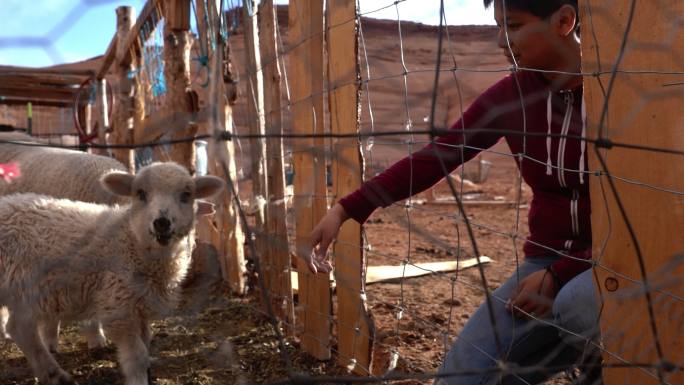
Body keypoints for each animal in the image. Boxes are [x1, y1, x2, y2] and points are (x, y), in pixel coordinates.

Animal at [0, 161, 223, 384]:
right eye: (140, 193)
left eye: (186, 195)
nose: (162, 222)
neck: (131, 241)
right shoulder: (119, 305)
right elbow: (137, 356)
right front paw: (138, 379)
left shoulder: (139, 305)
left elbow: (146, 343)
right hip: (26, 288)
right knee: (20, 328)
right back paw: (55, 374)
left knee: (19, 328)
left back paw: (52, 374)